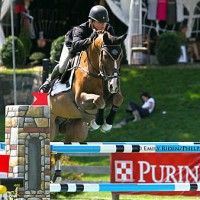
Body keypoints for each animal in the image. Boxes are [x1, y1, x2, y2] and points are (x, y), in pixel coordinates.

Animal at [48, 31, 126, 183]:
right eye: (105, 56)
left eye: (120, 57)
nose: (114, 85)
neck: (97, 71)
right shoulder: (80, 99)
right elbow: (99, 100)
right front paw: (98, 123)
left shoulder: (110, 96)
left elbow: (117, 99)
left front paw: (105, 124)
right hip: (50, 127)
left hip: (77, 132)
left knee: (61, 147)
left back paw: (57, 176)